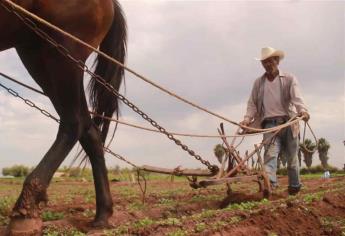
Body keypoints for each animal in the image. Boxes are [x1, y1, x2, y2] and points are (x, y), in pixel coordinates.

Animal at [0, 0, 126, 232]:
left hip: (63, 52)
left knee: (74, 123)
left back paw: (26, 210)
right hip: (38, 55)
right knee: (90, 132)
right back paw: (102, 216)